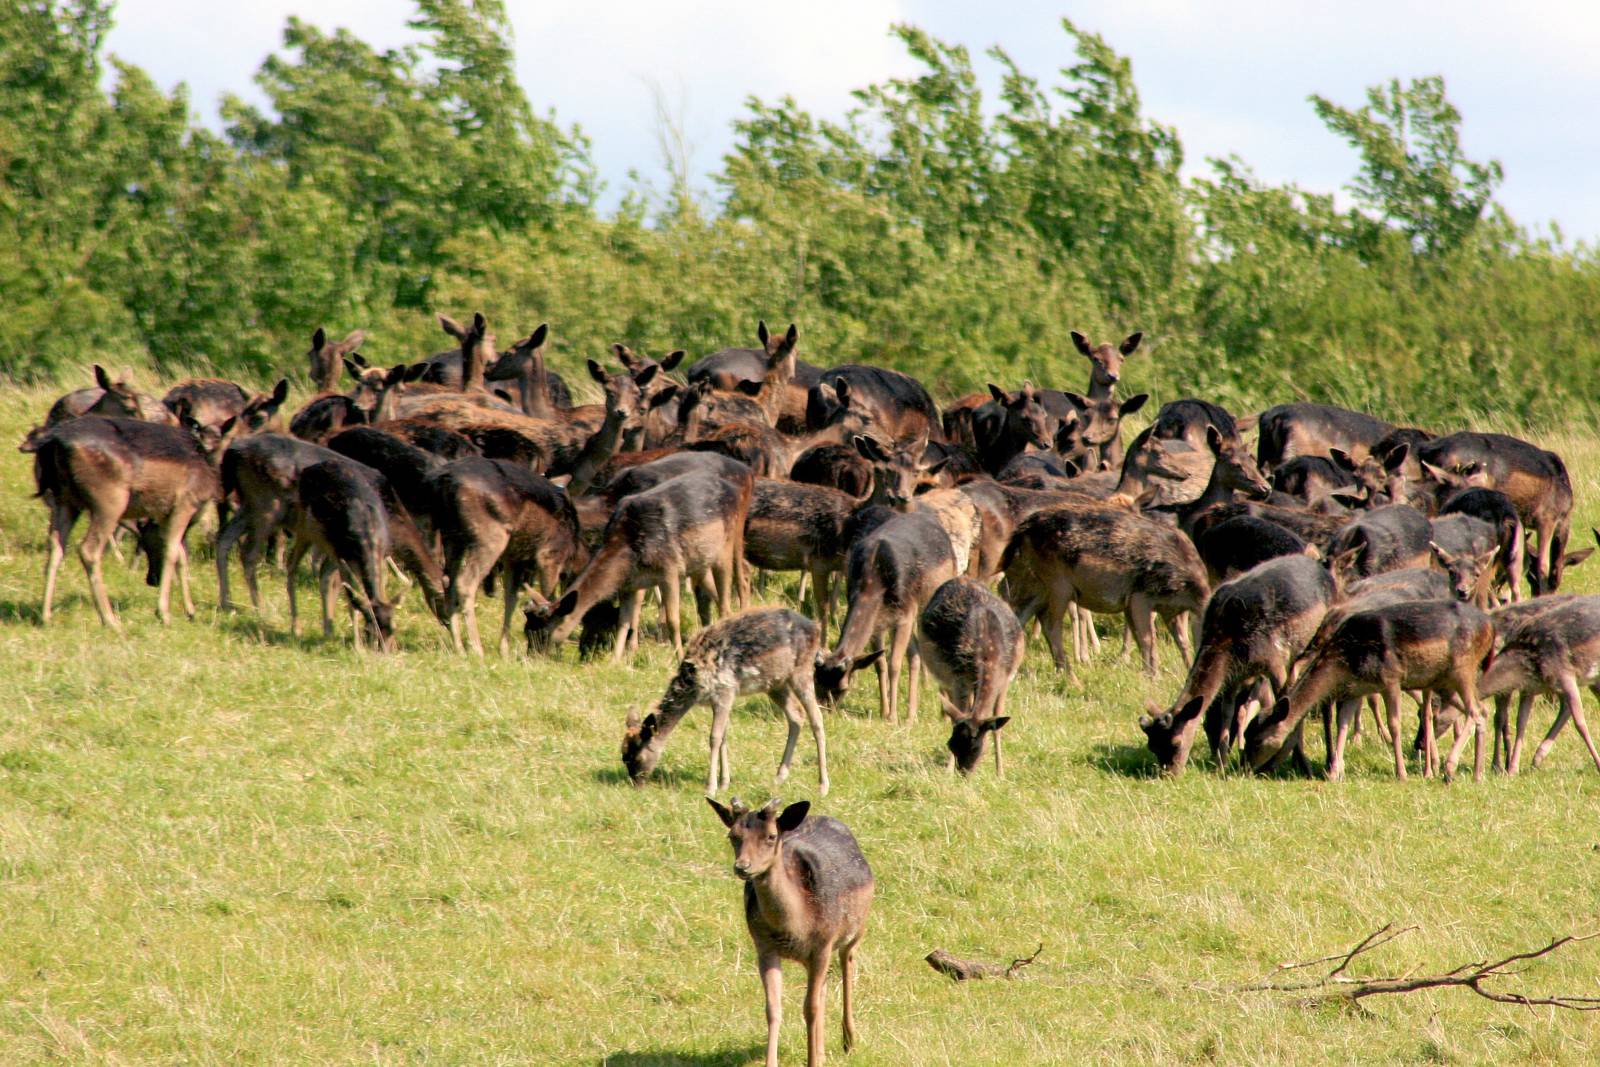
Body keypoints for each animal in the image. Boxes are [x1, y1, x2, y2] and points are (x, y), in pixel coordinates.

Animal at [34, 413, 236, 628]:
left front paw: (190, 611)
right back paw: (110, 620)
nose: (151, 579)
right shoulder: (184, 504)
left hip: (64, 499)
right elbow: (172, 551)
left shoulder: (162, 515)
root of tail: (54, 441)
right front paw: (164, 613)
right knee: (89, 549)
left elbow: (181, 554)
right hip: (110, 500)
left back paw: (46, 616)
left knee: (55, 545)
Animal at [622, 608, 830, 797]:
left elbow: (714, 738)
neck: (694, 684)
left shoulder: (725, 690)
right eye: (623, 754)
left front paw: (711, 788)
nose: (635, 784)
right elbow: (723, 737)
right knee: (796, 716)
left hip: (801, 672)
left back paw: (823, 786)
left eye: (635, 756)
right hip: (776, 684)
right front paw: (724, 784)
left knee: (817, 718)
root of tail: (816, 629)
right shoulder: (722, 699)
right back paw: (779, 776)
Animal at [705, 798, 874, 1067]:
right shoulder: (764, 947)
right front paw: (775, 1062)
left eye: (771, 836)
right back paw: (823, 1051)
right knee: (824, 986)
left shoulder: (823, 943)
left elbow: (810, 1008)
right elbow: (773, 1008)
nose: (743, 867)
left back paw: (849, 1041)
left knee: (847, 963)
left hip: (856, 929)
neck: (795, 926)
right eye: (733, 835)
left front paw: (813, 1061)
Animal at [918, 578, 1022, 775]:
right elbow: (958, 715)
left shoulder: (1006, 678)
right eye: (950, 744)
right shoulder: (959, 677)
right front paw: (947, 771)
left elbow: (996, 719)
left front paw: (1000, 772)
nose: (964, 773)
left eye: (976, 747)